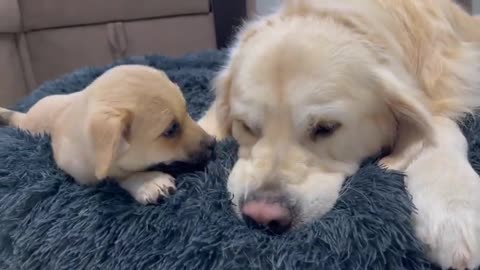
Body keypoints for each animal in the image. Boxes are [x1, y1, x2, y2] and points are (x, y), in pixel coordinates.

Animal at [1, 65, 216, 205]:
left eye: (187, 111)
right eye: (170, 130)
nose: (213, 144)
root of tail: (26, 115)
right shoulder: (82, 172)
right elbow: (116, 175)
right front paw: (148, 182)